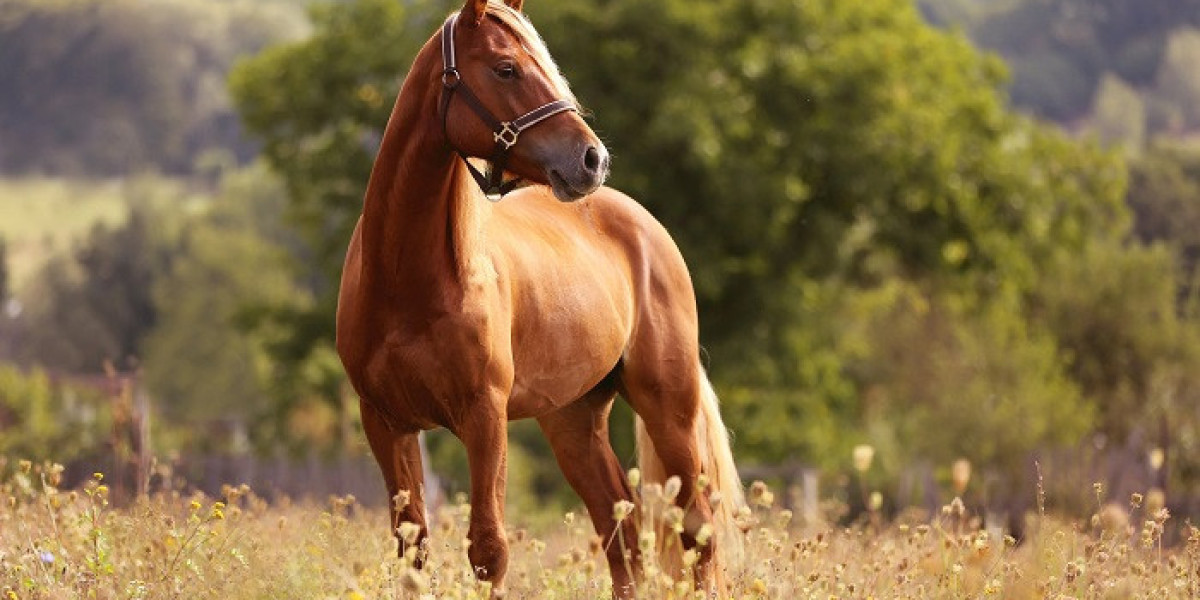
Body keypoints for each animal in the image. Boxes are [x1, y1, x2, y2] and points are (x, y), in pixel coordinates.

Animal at [335, 0, 745, 595]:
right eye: (506, 68)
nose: (592, 160)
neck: (407, 283)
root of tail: (646, 227)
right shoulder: (386, 423)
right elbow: (412, 550)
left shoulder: (484, 418)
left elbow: (488, 548)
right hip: (573, 421)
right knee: (620, 529)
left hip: (669, 407)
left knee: (698, 532)